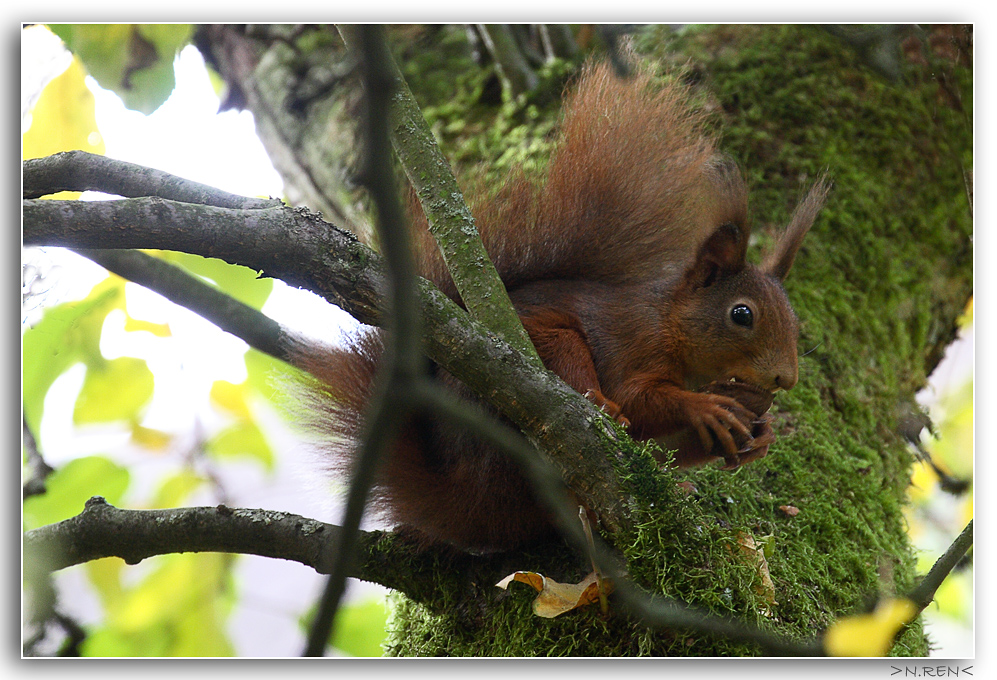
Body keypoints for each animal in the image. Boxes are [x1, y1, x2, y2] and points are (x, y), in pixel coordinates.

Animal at [292, 62, 828, 552]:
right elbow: (640, 398)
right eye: (742, 315)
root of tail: (469, 502)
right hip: (530, 380)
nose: (786, 378)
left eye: (796, 321)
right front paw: (704, 406)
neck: (672, 325)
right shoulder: (633, 340)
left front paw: (759, 435)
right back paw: (602, 411)